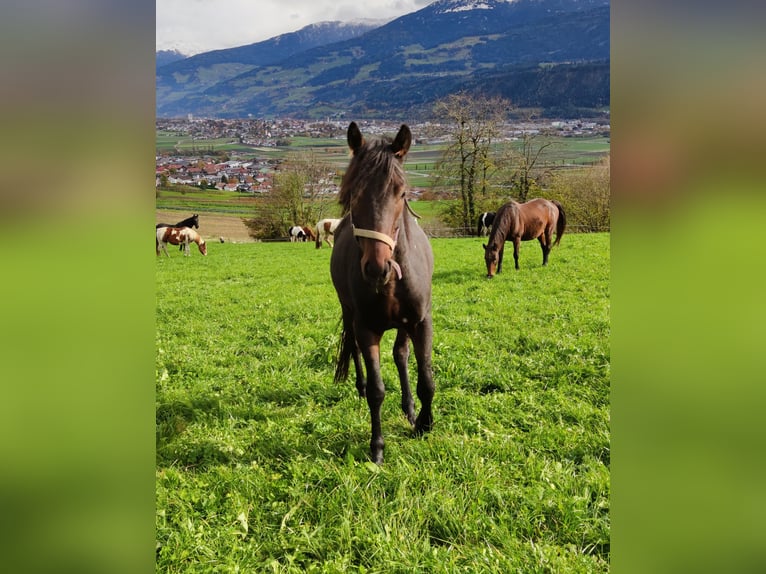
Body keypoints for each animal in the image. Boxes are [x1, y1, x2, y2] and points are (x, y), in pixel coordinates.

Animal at [330, 122, 435, 465]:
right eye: (353, 193)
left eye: (401, 193)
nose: (378, 268)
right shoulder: (367, 328)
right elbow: (377, 390)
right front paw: (376, 446)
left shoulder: (420, 322)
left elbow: (426, 378)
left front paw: (424, 423)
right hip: (349, 313)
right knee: (354, 348)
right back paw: (361, 387)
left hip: (404, 325)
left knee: (401, 355)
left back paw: (410, 410)